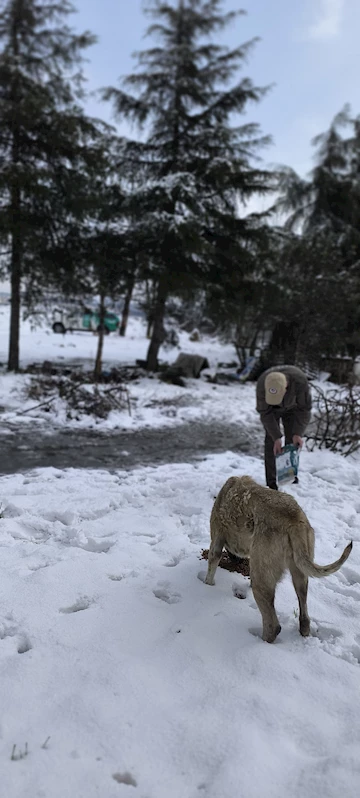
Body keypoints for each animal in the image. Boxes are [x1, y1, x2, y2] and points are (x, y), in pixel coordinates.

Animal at [204, 476, 352, 644]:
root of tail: (294, 520)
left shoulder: (216, 539)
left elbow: (211, 565)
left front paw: (207, 585)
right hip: (300, 573)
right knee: (304, 614)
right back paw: (303, 630)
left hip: (262, 581)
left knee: (273, 625)